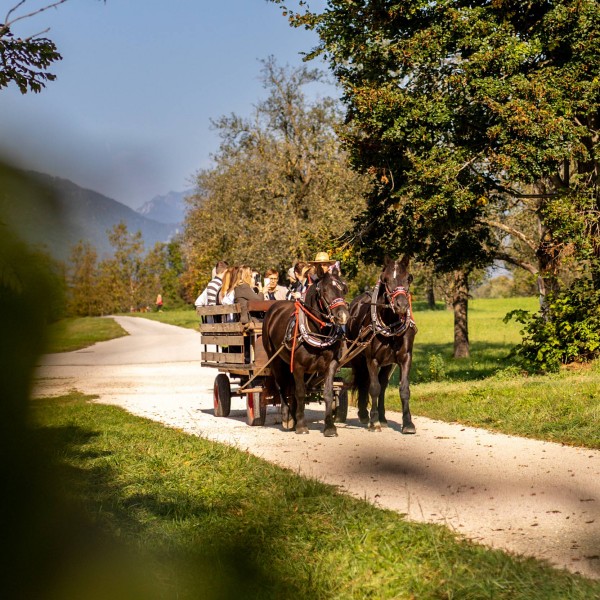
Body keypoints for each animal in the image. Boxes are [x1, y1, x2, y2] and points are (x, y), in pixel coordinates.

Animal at [264, 268, 352, 436]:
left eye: (344, 289)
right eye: (325, 291)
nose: (343, 315)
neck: (318, 333)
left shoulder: (330, 365)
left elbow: (328, 393)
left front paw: (330, 426)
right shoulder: (298, 366)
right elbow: (300, 393)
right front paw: (301, 425)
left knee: (289, 389)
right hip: (276, 361)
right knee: (282, 387)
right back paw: (287, 417)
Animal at [346, 255, 418, 434]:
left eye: (409, 278)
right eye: (385, 279)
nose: (402, 305)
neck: (390, 324)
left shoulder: (405, 358)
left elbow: (403, 389)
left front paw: (408, 423)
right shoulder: (371, 359)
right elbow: (374, 388)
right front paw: (374, 421)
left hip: (388, 363)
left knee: (383, 384)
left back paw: (383, 418)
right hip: (358, 357)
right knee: (365, 381)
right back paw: (365, 415)